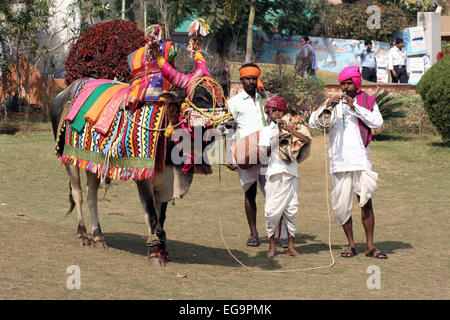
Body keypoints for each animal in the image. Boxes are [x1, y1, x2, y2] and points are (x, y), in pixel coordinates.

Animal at [51, 23, 236, 264]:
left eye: (223, 95)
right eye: (201, 98)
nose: (231, 124)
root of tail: (64, 92)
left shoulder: (168, 180)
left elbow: (162, 217)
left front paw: (163, 249)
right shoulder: (143, 178)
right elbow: (151, 214)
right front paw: (154, 253)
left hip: (92, 163)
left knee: (92, 196)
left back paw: (98, 236)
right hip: (69, 160)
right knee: (78, 193)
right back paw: (83, 234)